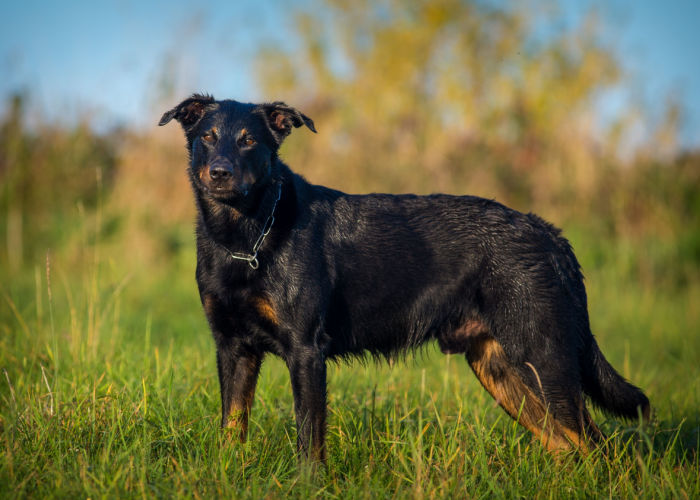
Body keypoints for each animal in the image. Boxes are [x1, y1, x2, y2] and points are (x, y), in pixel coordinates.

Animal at [160, 94, 652, 460]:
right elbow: (231, 427)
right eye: (207, 137)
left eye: (249, 141)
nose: (219, 173)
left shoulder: (305, 352)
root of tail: (550, 235)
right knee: (567, 446)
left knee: (598, 447)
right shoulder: (233, 347)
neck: (247, 237)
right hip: (502, 369)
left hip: (542, 359)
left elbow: (308, 440)